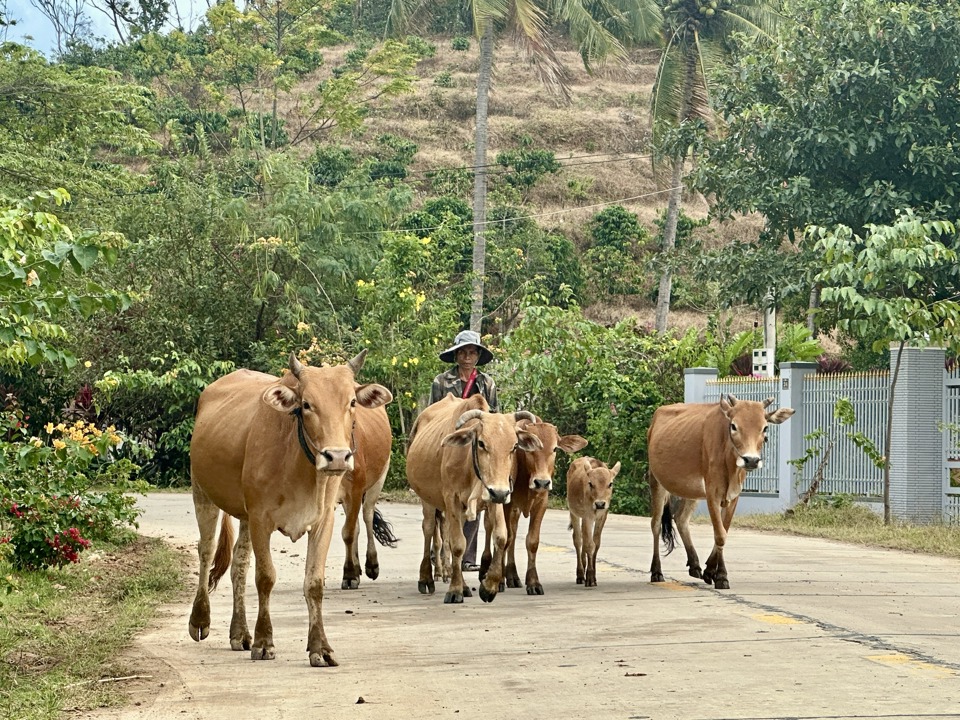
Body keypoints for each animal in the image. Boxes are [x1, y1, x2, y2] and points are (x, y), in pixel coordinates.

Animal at [404, 394, 540, 600]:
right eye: (482, 443)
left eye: (514, 446)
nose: (499, 492)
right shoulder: (451, 499)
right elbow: (458, 544)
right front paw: (454, 590)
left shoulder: (495, 498)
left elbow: (501, 537)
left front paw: (489, 586)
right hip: (427, 499)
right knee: (429, 530)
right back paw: (427, 578)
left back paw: (465, 585)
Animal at [492, 420, 588, 592]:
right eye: (531, 450)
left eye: (555, 448)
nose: (542, 482)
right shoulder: (507, 504)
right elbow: (506, 538)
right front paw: (500, 581)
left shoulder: (541, 504)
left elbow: (532, 541)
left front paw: (533, 582)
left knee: (514, 535)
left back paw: (513, 576)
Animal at [568, 458, 620, 588]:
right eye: (591, 483)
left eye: (610, 484)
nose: (600, 504)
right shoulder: (588, 516)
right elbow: (589, 545)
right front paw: (590, 577)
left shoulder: (602, 516)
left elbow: (596, 543)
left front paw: (594, 576)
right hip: (573, 513)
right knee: (578, 540)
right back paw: (580, 574)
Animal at [644, 394, 796, 592]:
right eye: (733, 426)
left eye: (765, 427)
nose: (751, 460)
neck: (729, 460)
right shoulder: (713, 494)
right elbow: (720, 535)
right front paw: (722, 576)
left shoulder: (733, 496)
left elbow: (724, 530)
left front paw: (710, 571)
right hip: (656, 481)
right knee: (655, 524)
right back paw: (656, 571)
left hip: (690, 491)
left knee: (681, 518)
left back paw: (695, 565)